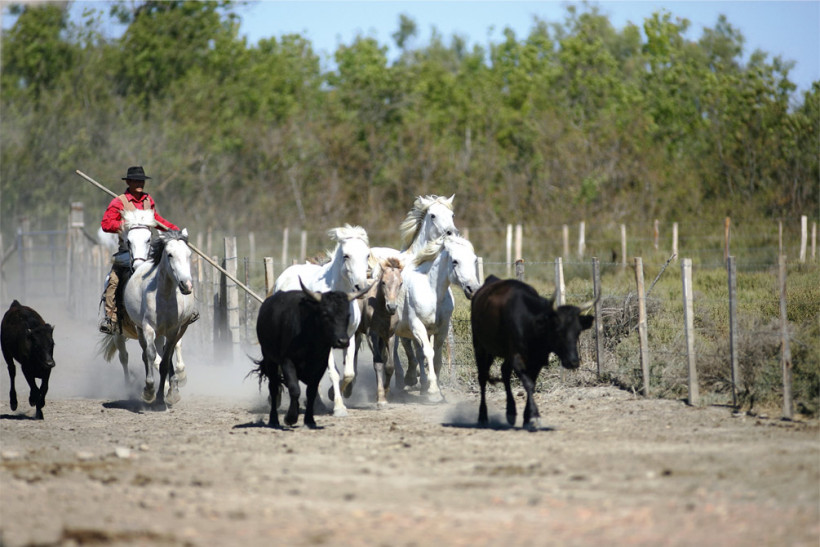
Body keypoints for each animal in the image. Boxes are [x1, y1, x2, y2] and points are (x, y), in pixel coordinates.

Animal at [123, 228, 197, 406]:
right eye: (169, 254)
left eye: (189, 254)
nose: (186, 285)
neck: (164, 297)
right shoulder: (148, 328)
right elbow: (151, 355)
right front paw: (149, 391)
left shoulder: (173, 330)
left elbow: (165, 361)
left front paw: (164, 395)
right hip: (141, 329)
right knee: (145, 355)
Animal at [272, 225, 368, 418]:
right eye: (346, 255)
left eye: (367, 255)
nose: (360, 287)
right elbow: (334, 373)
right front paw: (338, 407)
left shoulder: (349, 337)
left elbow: (348, 373)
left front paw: (335, 394)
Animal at [392, 234, 480, 402]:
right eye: (455, 261)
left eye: (474, 260)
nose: (473, 289)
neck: (432, 292)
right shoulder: (418, 326)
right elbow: (428, 353)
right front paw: (433, 392)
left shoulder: (441, 329)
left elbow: (436, 357)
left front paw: (434, 388)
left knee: (411, 350)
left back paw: (414, 381)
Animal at [470, 276, 592, 430]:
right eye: (557, 330)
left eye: (578, 331)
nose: (573, 361)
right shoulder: (517, 358)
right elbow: (528, 384)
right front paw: (534, 416)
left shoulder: (537, 360)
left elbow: (532, 384)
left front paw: (527, 418)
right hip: (480, 347)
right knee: (482, 377)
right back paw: (483, 416)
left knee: (504, 371)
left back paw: (511, 412)